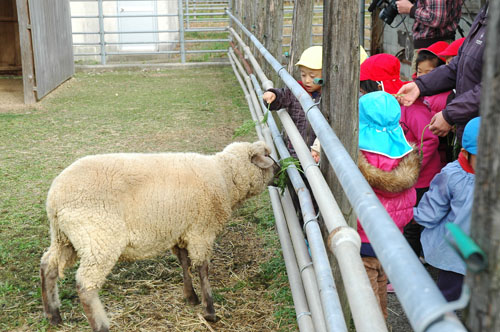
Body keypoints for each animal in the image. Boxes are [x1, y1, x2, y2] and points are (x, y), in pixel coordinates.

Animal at [40, 141, 276, 332]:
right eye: (268, 155)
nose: (281, 168)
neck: (225, 176)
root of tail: (54, 199)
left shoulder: (180, 231)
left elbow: (184, 262)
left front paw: (190, 296)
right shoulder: (201, 231)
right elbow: (202, 268)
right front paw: (209, 310)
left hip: (65, 239)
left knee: (48, 266)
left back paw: (54, 316)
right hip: (99, 239)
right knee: (85, 285)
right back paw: (101, 325)